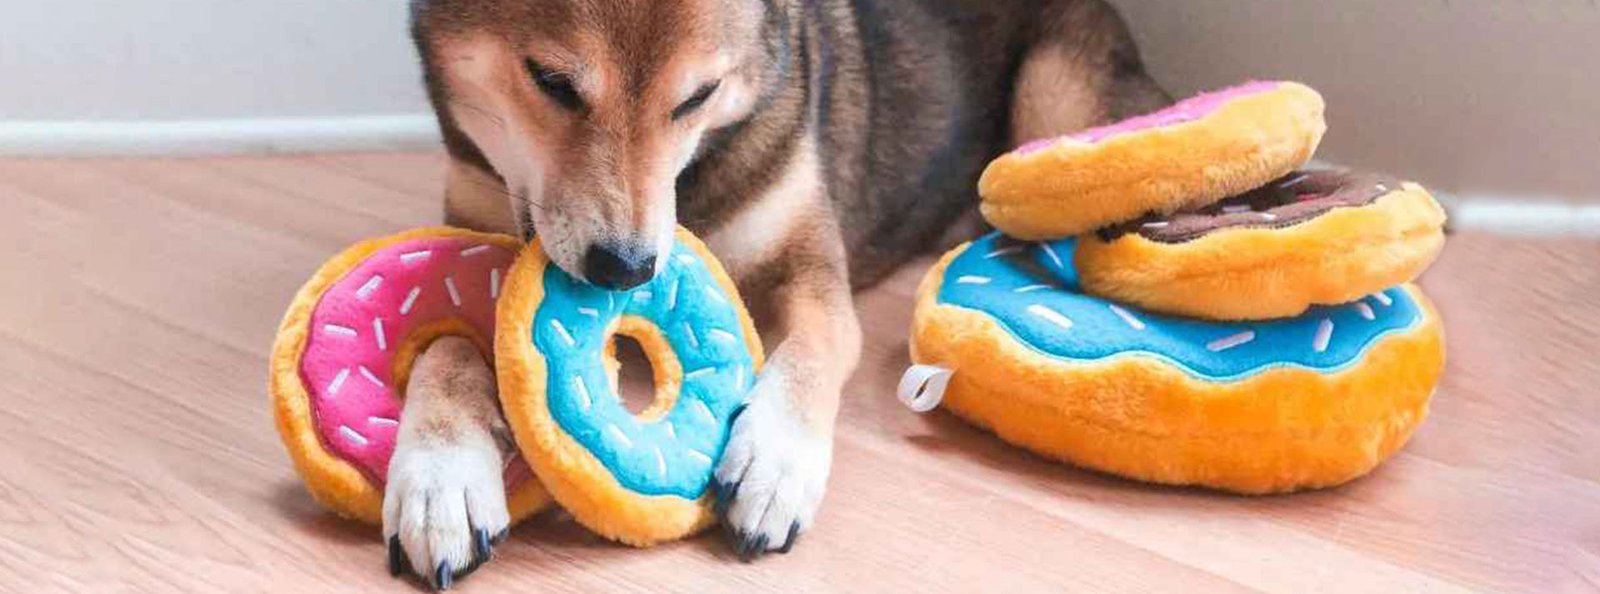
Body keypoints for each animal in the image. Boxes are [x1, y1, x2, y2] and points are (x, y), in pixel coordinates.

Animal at [387, 0, 1164, 585]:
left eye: (697, 98)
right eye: (550, 80)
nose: (628, 269)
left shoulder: (810, 271)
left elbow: (812, 354)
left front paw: (776, 459)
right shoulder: (472, 228)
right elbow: (447, 350)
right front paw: (441, 476)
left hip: (1051, 103)